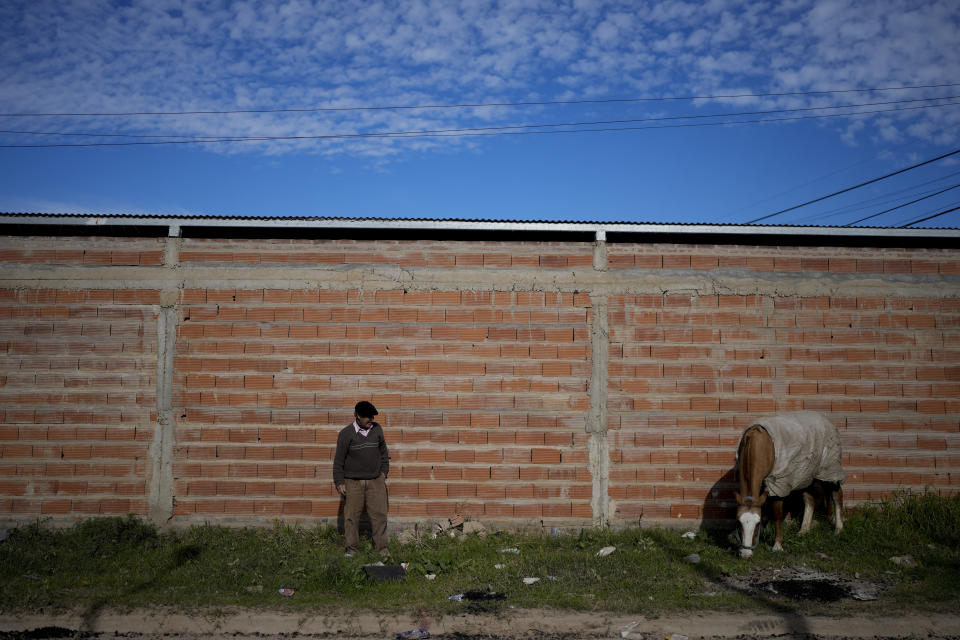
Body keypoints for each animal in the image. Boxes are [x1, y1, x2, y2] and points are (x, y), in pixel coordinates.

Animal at [736, 412, 848, 556]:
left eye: (757, 524)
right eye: (739, 523)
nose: (745, 554)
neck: (757, 445)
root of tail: (826, 420)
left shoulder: (778, 484)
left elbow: (777, 515)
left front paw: (777, 545)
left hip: (829, 468)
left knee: (836, 494)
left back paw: (838, 528)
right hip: (805, 474)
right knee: (810, 500)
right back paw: (803, 530)